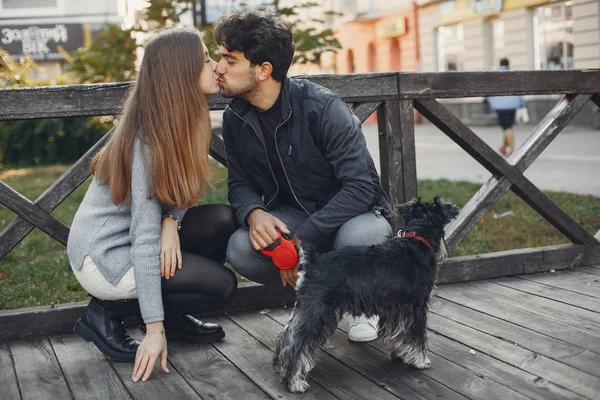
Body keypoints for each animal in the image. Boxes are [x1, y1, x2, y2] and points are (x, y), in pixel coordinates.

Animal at [274, 198, 462, 392]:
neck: (416, 240)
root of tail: (313, 262)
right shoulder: (417, 307)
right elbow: (416, 336)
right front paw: (419, 360)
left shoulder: (397, 309)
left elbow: (399, 334)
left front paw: (400, 353)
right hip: (320, 312)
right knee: (297, 345)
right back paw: (295, 382)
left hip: (306, 308)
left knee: (287, 337)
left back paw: (281, 368)